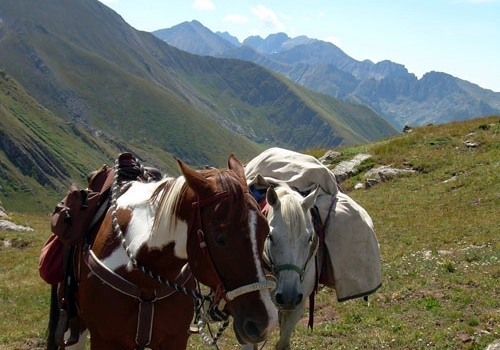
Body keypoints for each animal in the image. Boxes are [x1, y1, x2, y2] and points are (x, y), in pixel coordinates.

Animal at [64, 156, 278, 350]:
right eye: (220, 239)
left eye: (265, 232)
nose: (265, 323)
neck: (146, 279)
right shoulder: (105, 340)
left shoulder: (174, 339)